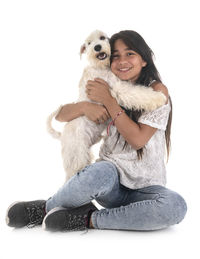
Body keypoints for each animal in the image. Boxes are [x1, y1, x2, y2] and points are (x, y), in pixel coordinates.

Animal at [47, 30, 166, 181]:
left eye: (102, 37)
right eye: (89, 43)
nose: (97, 47)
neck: (100, 67)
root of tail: (62, 135)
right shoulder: (119, 88)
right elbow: (137, 92)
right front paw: (159, 97)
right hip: (76, 154)